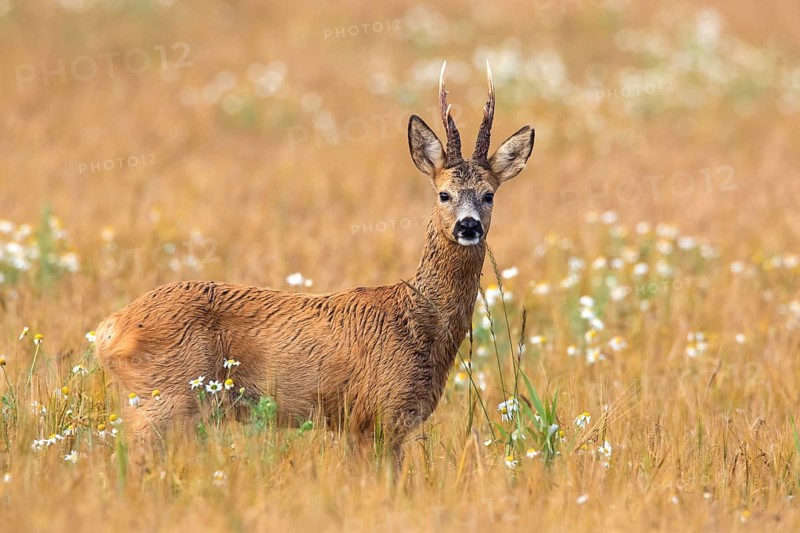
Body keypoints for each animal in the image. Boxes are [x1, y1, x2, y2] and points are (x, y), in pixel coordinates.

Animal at [94, 61, 535, 468]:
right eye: (443, 194)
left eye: (489, 194)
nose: (468, 225)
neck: (417, 322)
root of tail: (110, 329)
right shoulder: (375, 415)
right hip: (163, 397)